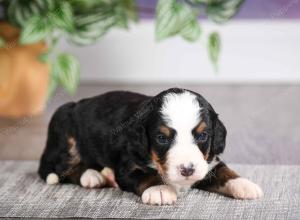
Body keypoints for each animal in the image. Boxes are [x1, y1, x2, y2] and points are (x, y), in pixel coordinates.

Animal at [38, 88, 262, 205]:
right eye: (162, 138)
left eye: (202, 136)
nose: (187, 170)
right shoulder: (128, 166)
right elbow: (146, 176)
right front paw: (160, 190)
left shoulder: (208, 163)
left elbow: (225, 171)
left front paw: (244, 184)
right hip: (63, 129)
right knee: (62, 168)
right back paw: (92, 176)